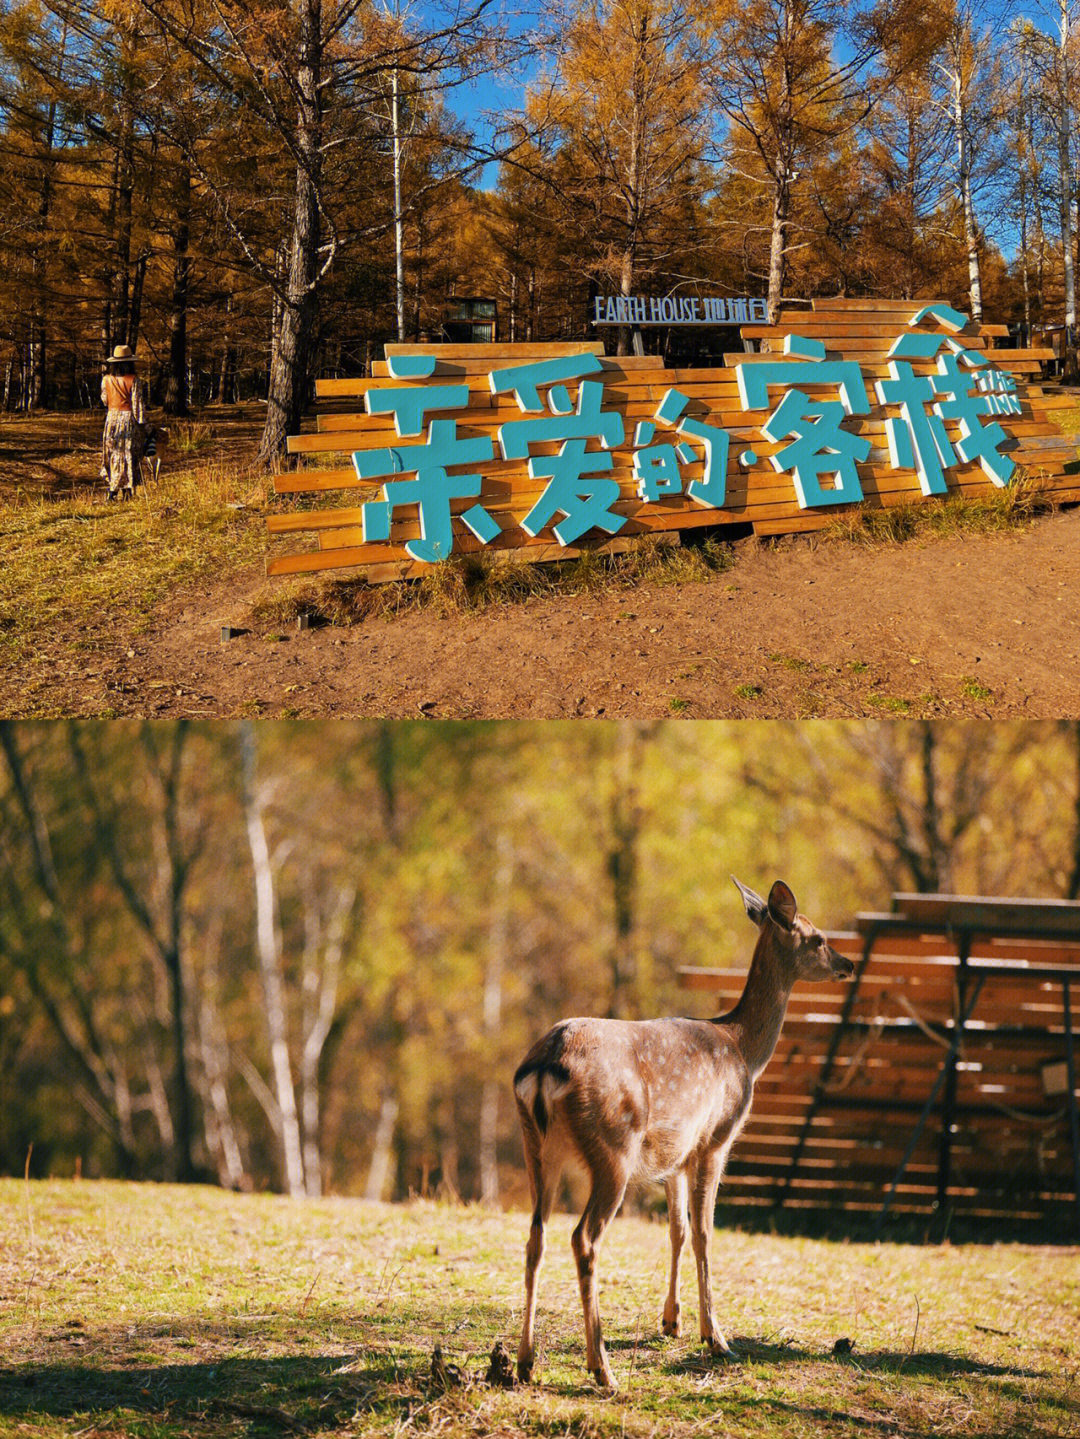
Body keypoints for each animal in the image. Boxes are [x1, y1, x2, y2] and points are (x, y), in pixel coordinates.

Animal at [511, 874, 857, 1392]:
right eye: (818, 938)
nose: (847, 964)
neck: (743, 1051)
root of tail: (546, 1063)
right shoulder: (715, 1139)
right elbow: (705, 1233)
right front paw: (716, 1338)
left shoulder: (674, 1154)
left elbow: (676, 1229)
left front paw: (671, 1322)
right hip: (613, 1147)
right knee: (583, 1239)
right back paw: (602, 1368)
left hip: (536, 1146)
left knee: (536, 1237)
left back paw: (525, 1363)